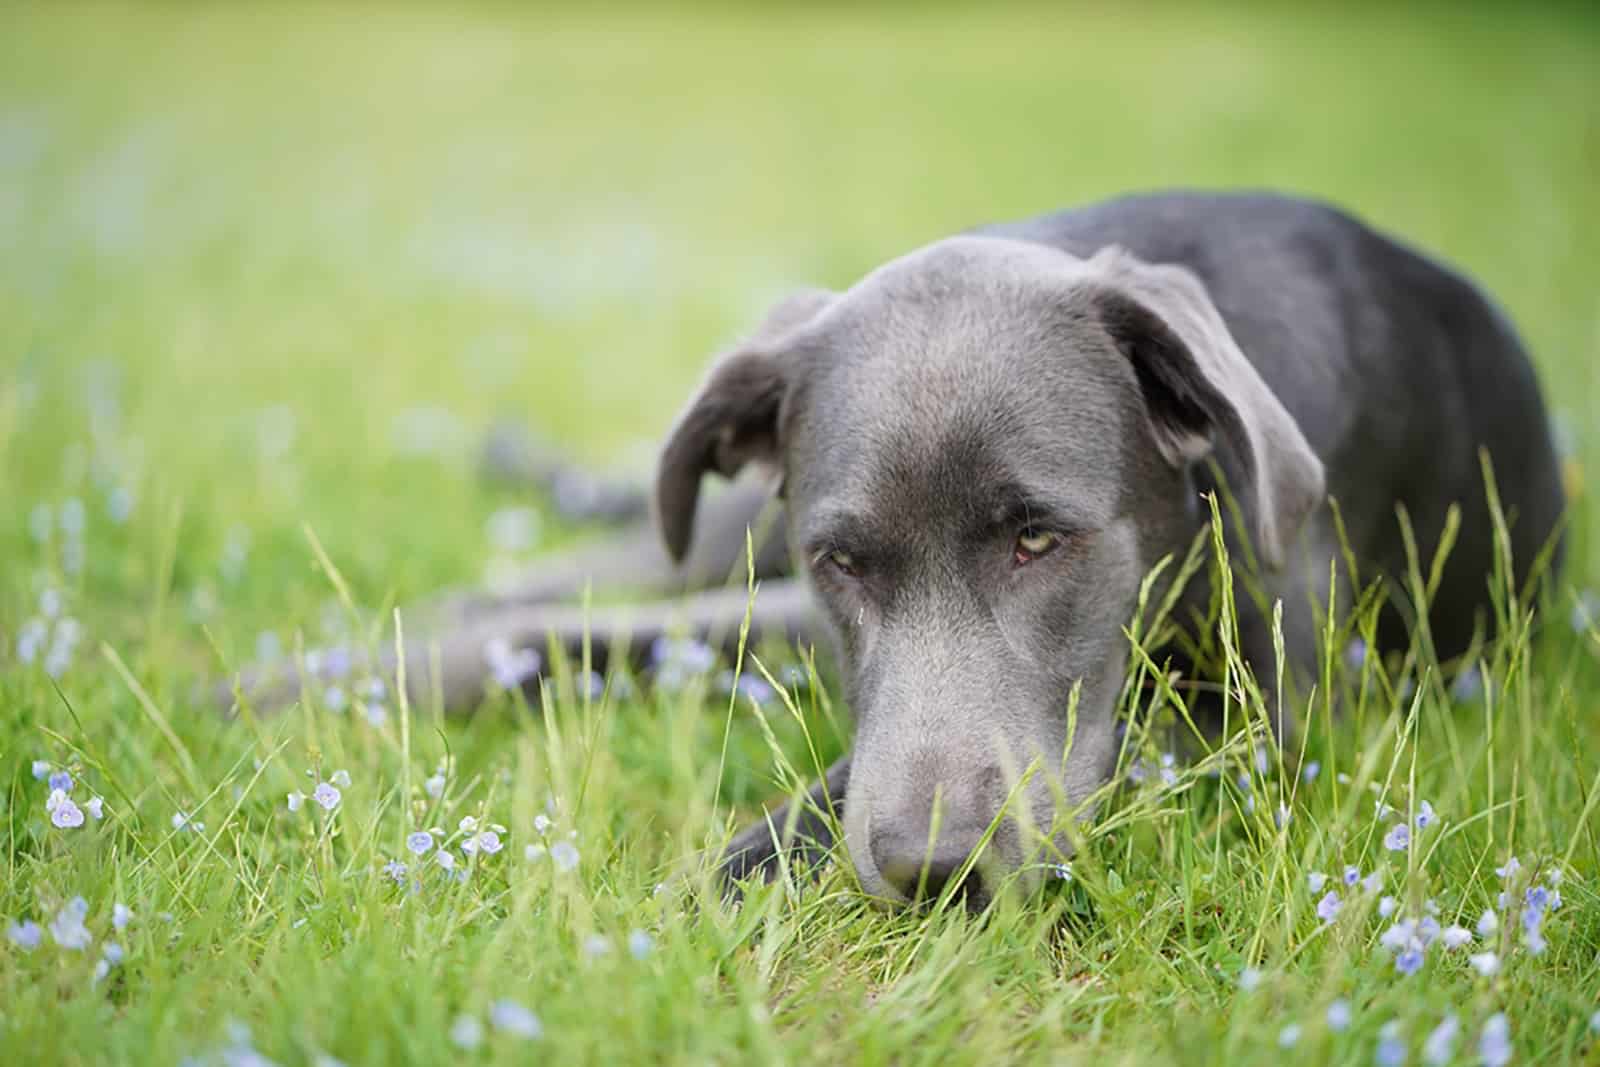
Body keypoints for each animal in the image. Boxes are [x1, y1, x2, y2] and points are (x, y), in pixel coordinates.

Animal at [233, 189, 1561, 908]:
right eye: (845, 562)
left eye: (1039, 537)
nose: (932, 866)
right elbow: (595, 635)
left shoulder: (1259, 715)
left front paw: (723, 876)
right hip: (725, 528)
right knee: (596, 574)